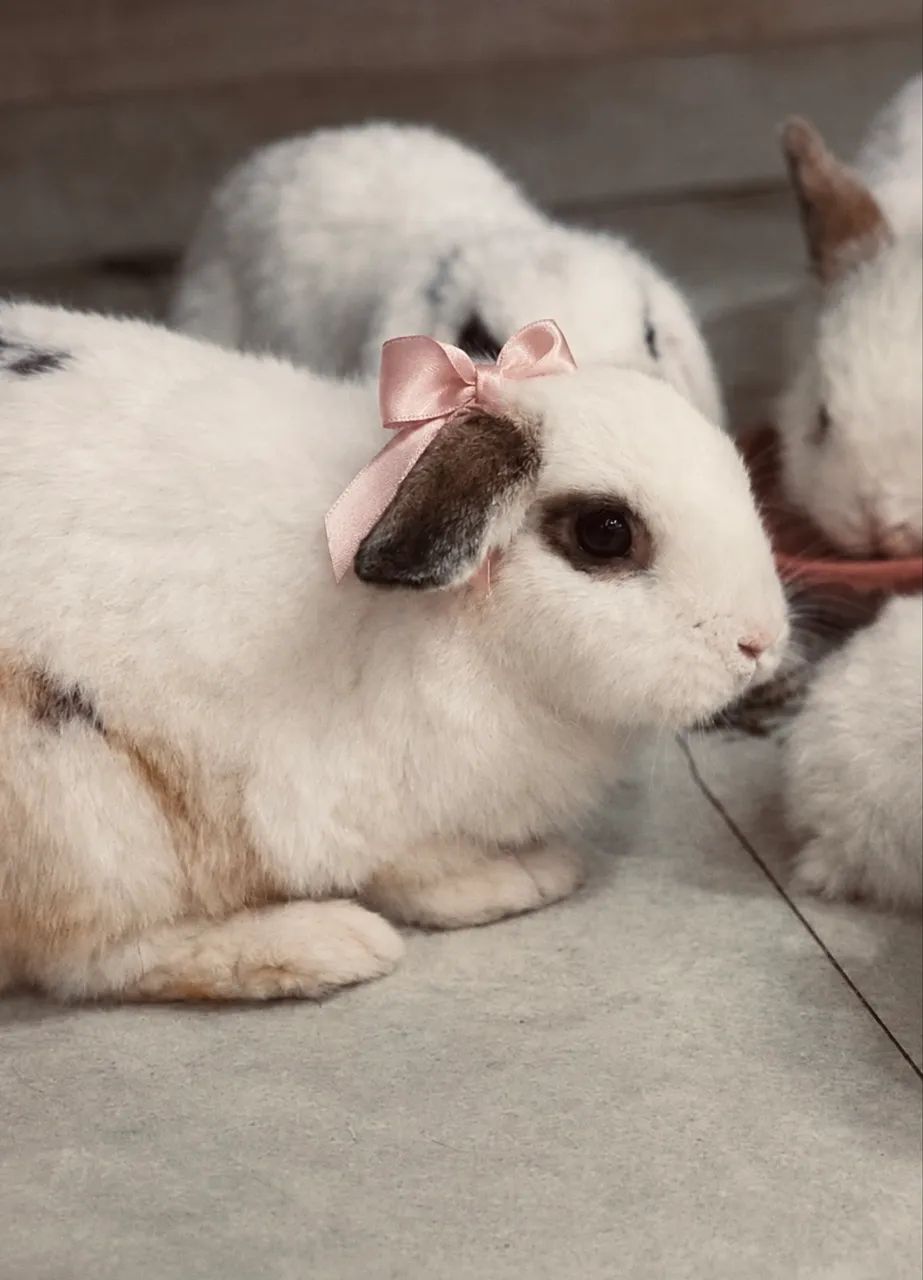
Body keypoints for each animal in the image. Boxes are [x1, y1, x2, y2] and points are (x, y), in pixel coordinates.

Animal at [0, 301, 786, 1003]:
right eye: (604, 531)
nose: (760, 643)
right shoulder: (346, 804)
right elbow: (423, 875)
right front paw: (524, 877)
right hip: (83, 808)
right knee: (92, 959)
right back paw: (326, 947)